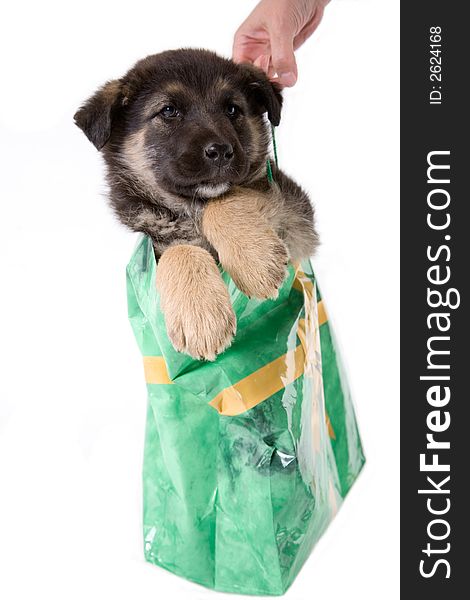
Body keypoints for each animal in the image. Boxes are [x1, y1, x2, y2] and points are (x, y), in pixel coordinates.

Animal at [75, 49, 320, 358]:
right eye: (168, 111)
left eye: (232, 110)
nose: (221, 151)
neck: (190, 209)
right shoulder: (152, 249)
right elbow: (178, 250)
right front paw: (201, 316)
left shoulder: (294, 215)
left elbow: (223, 201)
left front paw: (256, 259)